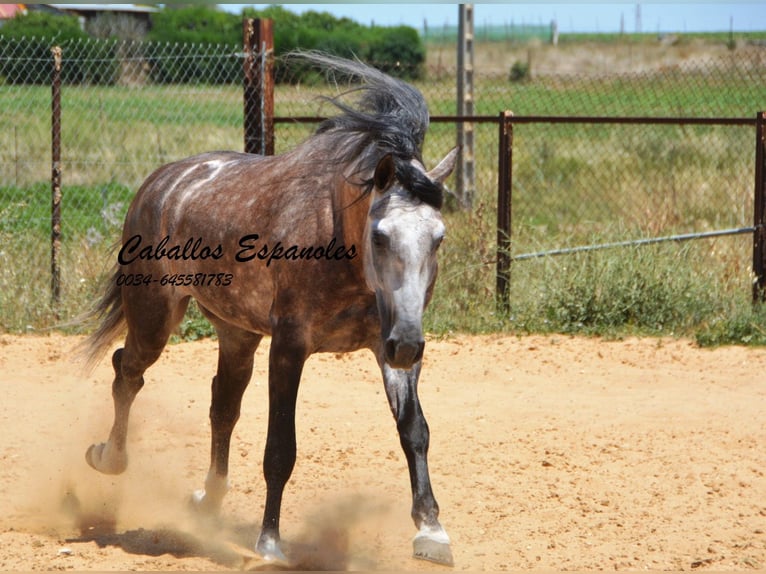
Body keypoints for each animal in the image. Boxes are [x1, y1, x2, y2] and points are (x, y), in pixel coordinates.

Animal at [82, 53, 456, 568]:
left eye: (438, 237)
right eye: (380, 236)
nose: (408, 344)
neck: (336, 237)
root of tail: (157, 184)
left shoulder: (388, 346)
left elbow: (414, 431)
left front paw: (432, 531)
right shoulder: (290, 347)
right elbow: (280, 448)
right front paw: (270, 543)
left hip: (237, 334)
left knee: (222, 406)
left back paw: (207, 500)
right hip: (155, 316)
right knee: (128, 371)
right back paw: (108, 458)